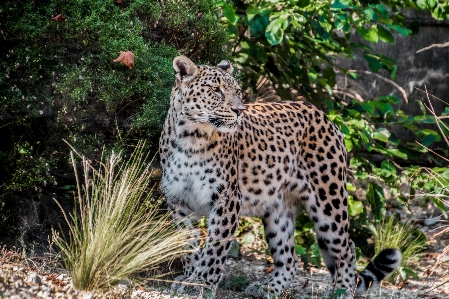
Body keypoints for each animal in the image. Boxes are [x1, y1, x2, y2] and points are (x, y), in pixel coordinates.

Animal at [159, 55, 400, 298]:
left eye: (237, 91)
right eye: (215, 90)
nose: (239, 110)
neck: (191, 137)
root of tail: (324, 115)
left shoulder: (226, 199)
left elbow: (215, 246)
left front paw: (202, 283)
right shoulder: (178, 200)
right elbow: (185, 245)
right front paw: (189, 277)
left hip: (328, 202)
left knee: (347, 247)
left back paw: (342, 290)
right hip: (278, 209)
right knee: (290, 257)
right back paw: (268, 287)